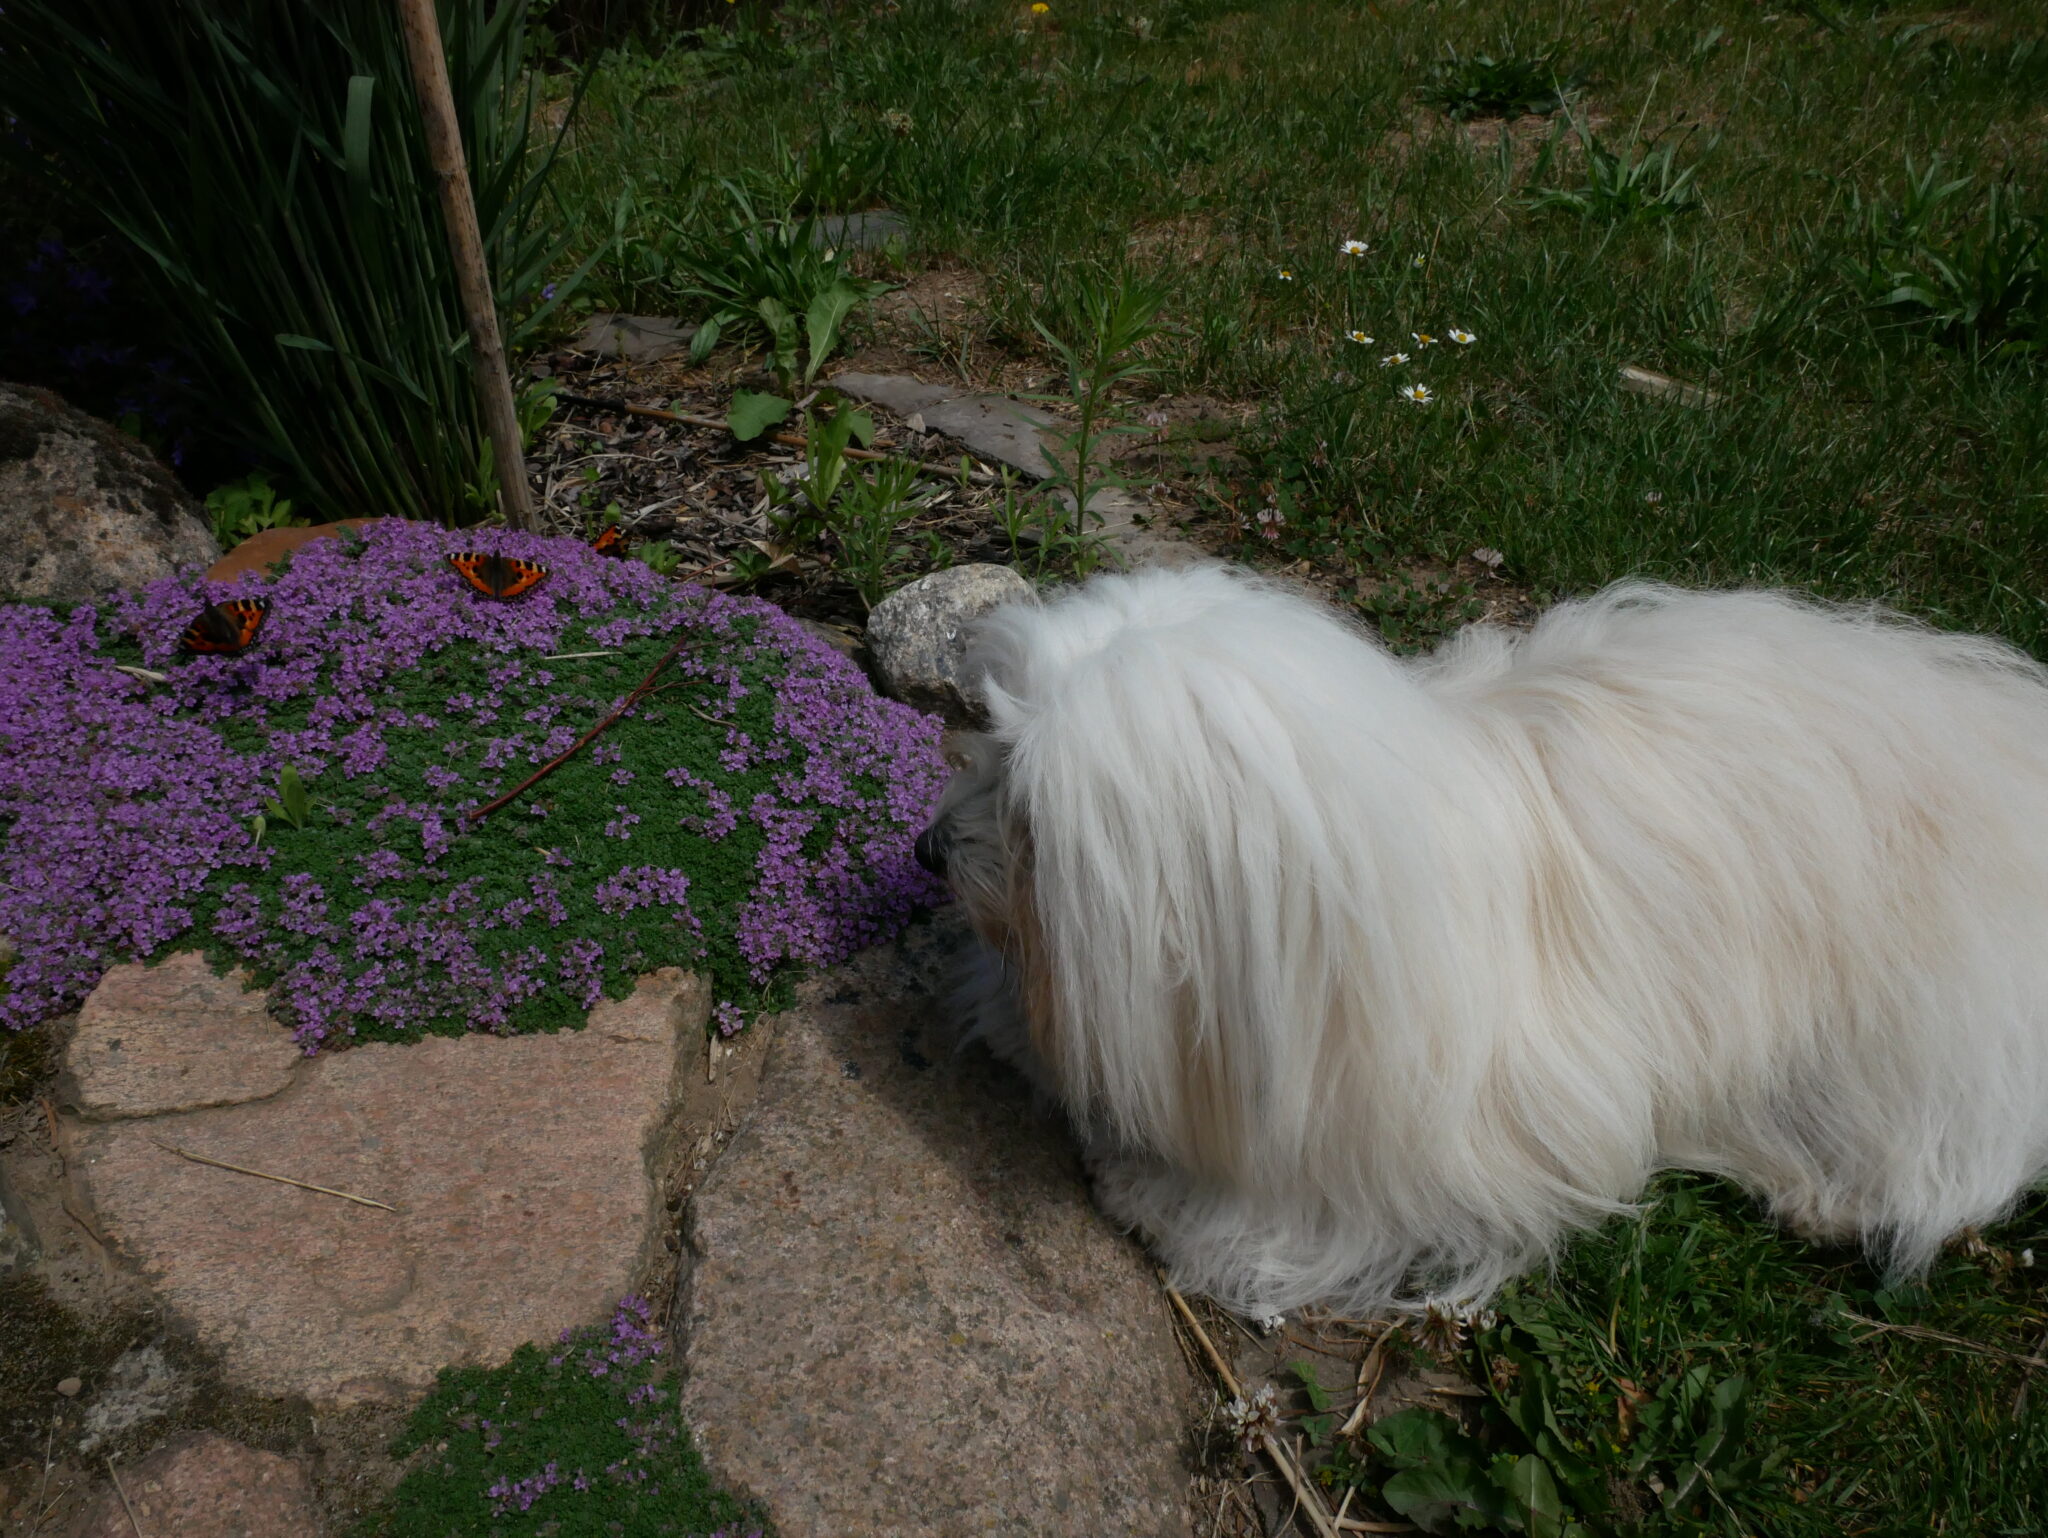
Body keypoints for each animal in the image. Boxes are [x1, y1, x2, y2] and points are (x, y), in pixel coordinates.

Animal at [921, 573, 2048, 1318]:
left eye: (1032, 816)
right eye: (987, 740)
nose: (931, 847)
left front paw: (1152, 1192)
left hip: (1923, 1019)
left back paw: (1838, 1197)